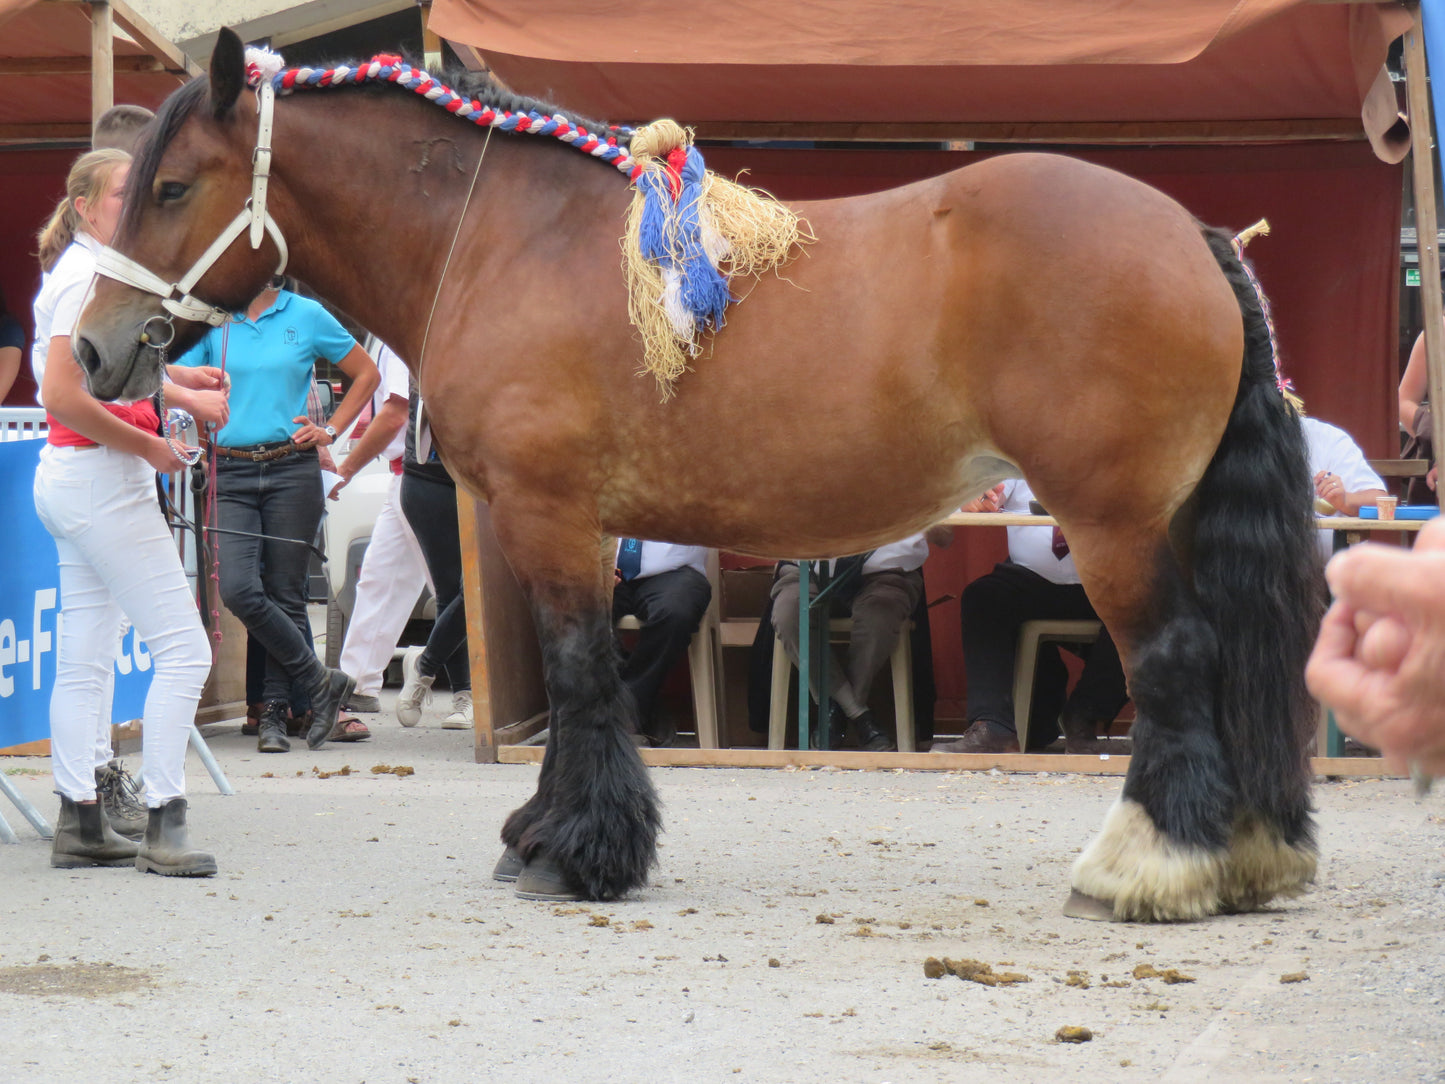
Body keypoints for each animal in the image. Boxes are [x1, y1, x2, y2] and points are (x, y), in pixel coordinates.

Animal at [76, 28, 1324, 921]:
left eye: (174, 187)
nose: (91, 349)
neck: (505, 238)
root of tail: (1190, 235)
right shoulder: (563, 528)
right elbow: (579, 682)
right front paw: (545, 831)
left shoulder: (547, 517)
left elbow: (581, 676)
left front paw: (573, 850)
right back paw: (1244, 854)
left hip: (1110, 522)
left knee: (1171, 659)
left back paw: (1149, 864)